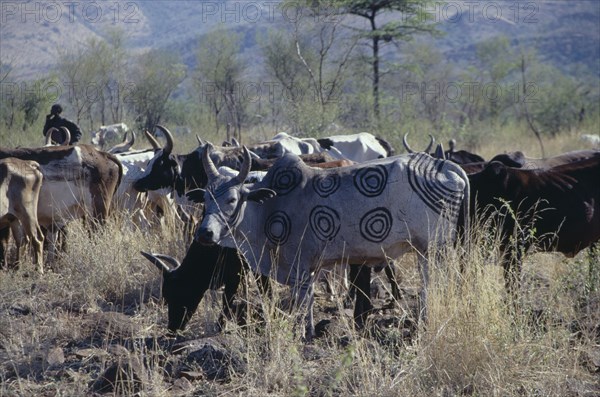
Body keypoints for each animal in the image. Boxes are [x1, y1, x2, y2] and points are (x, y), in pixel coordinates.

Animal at [195, 144, 472, 338]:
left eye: (232, 199)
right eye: (206, 199)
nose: (205, 233)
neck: (268, 207)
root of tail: (442, 164)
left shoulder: (299, 264)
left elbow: (302, 301)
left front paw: (302, 332)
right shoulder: (311, 267)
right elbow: (309, 300)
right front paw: (309, 330)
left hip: (435, 248)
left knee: (435, 282)